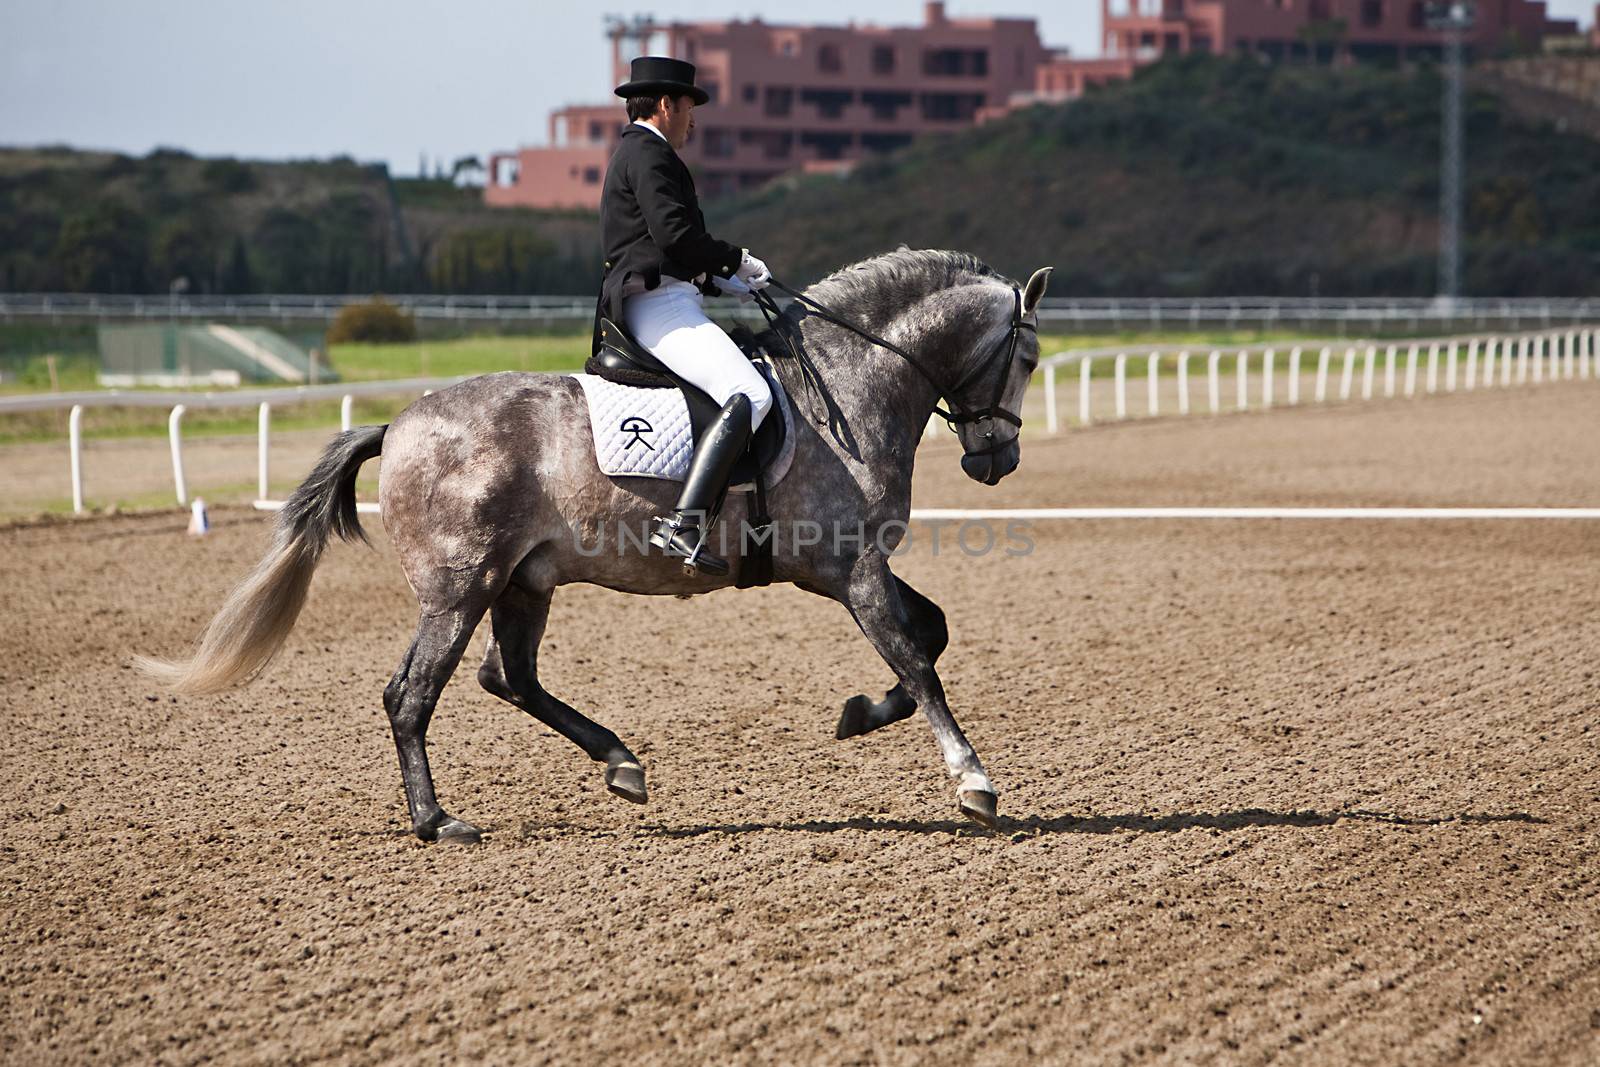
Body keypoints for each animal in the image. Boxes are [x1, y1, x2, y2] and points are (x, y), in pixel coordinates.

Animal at [140, 247, 1049, 844]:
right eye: (1030, 356)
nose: (996, 459)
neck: (851, 380)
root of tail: (397, 426)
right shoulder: (850, 567)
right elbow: (916, 656)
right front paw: (972, 781)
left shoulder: (847, 565)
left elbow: (928, 634)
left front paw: (860, 714)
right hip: (460, 588)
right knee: (412, 694)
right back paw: (439, 820)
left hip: (523, 582)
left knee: (507, 675)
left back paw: (620, 762)